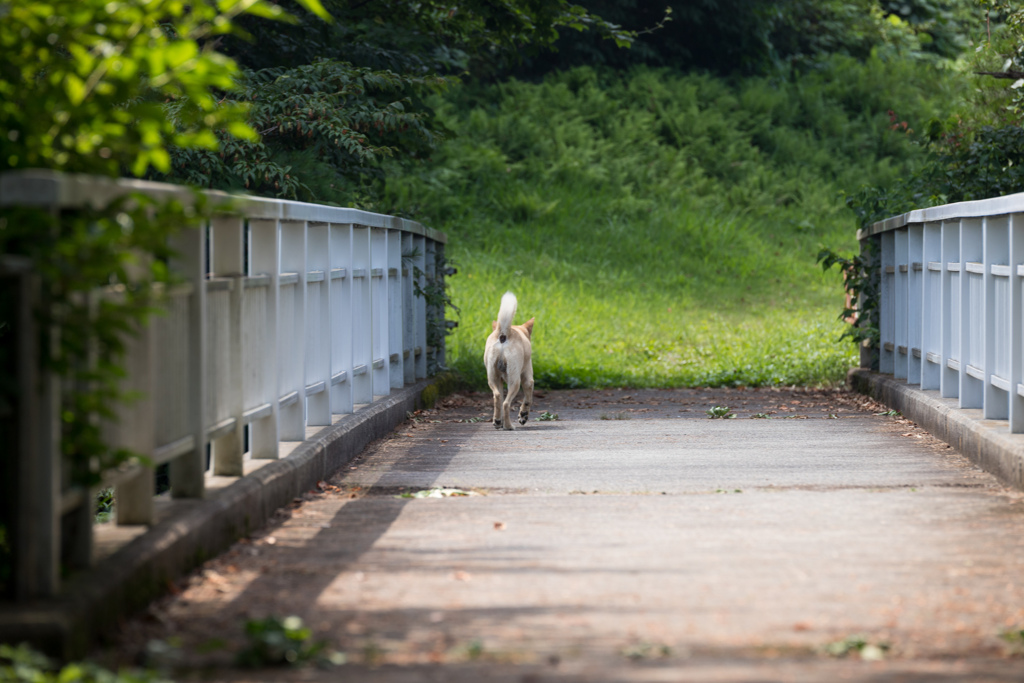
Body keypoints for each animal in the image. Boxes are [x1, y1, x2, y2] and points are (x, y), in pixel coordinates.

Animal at [483, 290, 536, 430]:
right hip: (515, 381)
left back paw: (497, 422)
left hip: (492, 378)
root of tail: (503, 334)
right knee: (506, 404)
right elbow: (528, 400)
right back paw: (509, 426)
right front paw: (523, 415)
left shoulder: (500, 381)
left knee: (498, 397)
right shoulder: (528, 379)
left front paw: (498, 421)